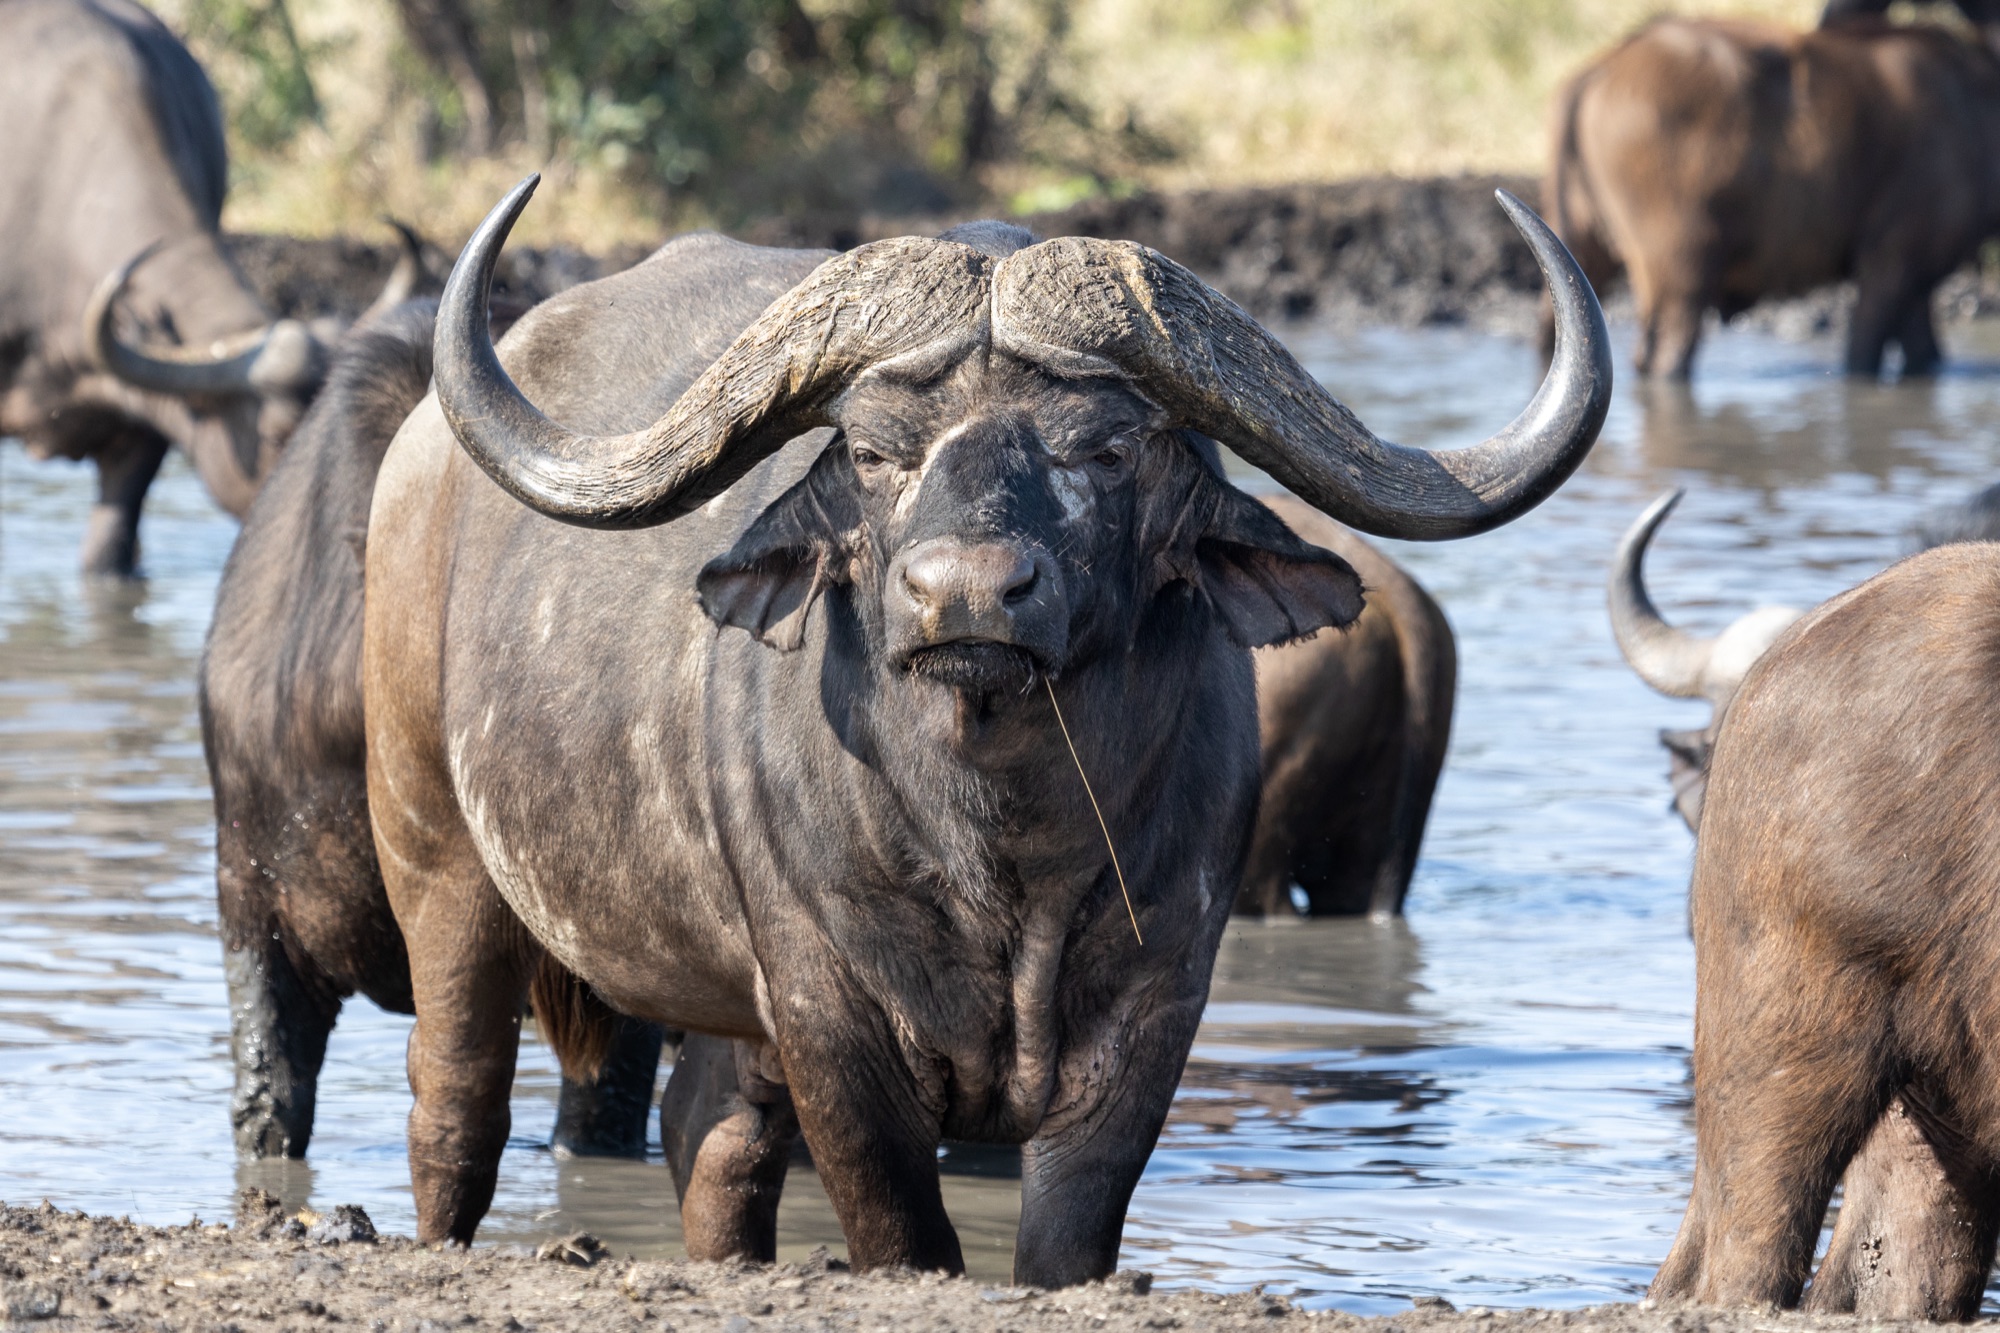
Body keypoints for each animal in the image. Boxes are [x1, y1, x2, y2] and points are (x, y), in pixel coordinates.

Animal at [341, 176, 1607, 1280]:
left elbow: (1063, 1238)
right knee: (455, 1096)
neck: (1000, 852)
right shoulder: (832, 1019)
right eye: (872, 452)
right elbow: (901, 1226)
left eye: (1105, 446)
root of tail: (417, 464)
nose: (965, 595)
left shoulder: (1154, 1012)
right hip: (437, 857)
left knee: (713, 1136)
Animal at [1546, 16, 2000, 378]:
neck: (1974, 104)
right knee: (1665, 355)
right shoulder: (1896, 264)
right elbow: (1862, 355)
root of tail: (1604, 66)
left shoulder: (1916, 286)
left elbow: (1924, 356)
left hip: (1582, 249)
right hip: (1679, 267)